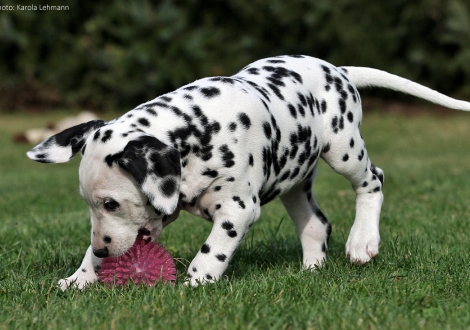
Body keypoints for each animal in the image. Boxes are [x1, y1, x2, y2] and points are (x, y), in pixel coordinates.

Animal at [26, 55, 470, 290]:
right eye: (92, 205)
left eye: (112, 203)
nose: (103, 252)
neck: (199, 130)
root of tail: (338, 69)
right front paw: (79, 278)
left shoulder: (237, 210)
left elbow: (212, 250)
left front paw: (195, 284)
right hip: (295, 181)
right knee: (316, 224)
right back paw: (311, 269)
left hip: (343, 148)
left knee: (372, 179)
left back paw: (363, 242)